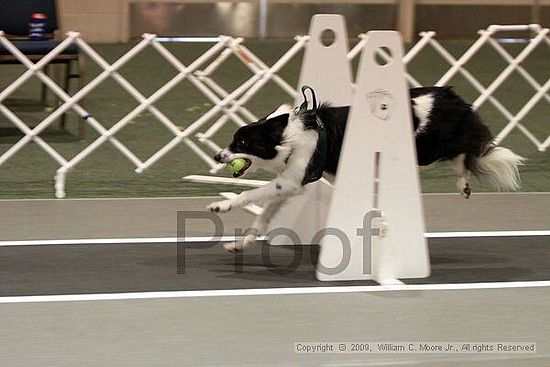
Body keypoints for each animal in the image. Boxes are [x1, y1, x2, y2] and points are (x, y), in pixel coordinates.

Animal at [207, 86, 528, 253]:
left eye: (242, 142)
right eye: (233, 140)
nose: (217, 154)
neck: (289, 136)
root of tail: (450, 95)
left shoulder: (290, 180)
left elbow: (251, 195)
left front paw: (221, 206)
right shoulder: (290, 183)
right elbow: (263, 214)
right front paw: (242, 243)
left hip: (427, 147)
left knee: (464, 152)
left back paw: (462, 180)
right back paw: (463, 185)